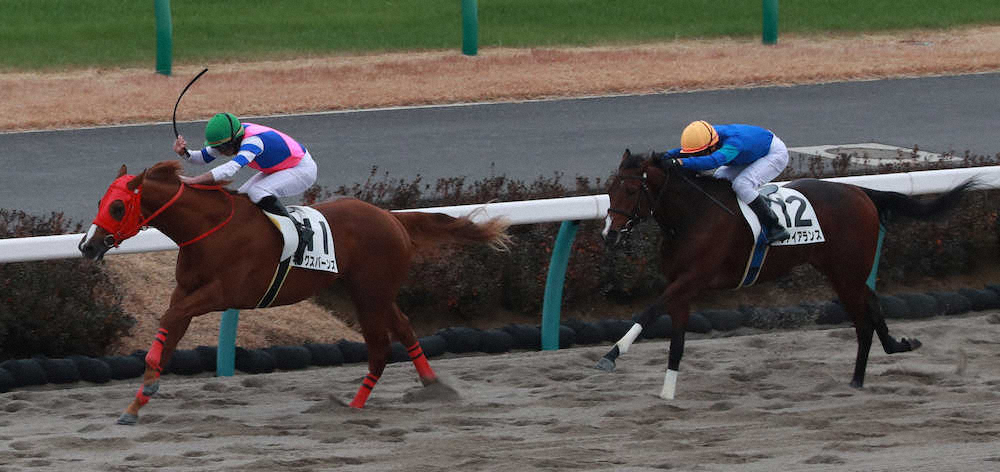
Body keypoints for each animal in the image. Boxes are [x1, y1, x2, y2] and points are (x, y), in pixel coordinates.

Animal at [78, 161, 510, 425]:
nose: (87, 245)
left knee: (381, 349)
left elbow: (170, 319)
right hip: (376, 292)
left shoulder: (223, 294)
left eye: (117, 207)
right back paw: (433, 388)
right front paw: (136, 403)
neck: (210, 229)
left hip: (369, 294)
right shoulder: (186, 291)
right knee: (404, 329)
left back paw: (353, 406)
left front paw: (146, 383)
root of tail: (392, 218)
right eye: (101, 201)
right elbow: (169, 330)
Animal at [596, 149, 973, 399]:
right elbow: (676, 342)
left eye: (631, 190)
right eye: (611, 189)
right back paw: (892, 351)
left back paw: (859, 379)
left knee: (864, 321)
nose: (609, 235)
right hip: (841, 271)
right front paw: (667, 394)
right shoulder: (681, 285)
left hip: (847, 271)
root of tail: (860, 191)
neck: (693, 215)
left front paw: (611, 356)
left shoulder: (692, 279)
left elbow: (648, 312)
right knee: (872, 305)